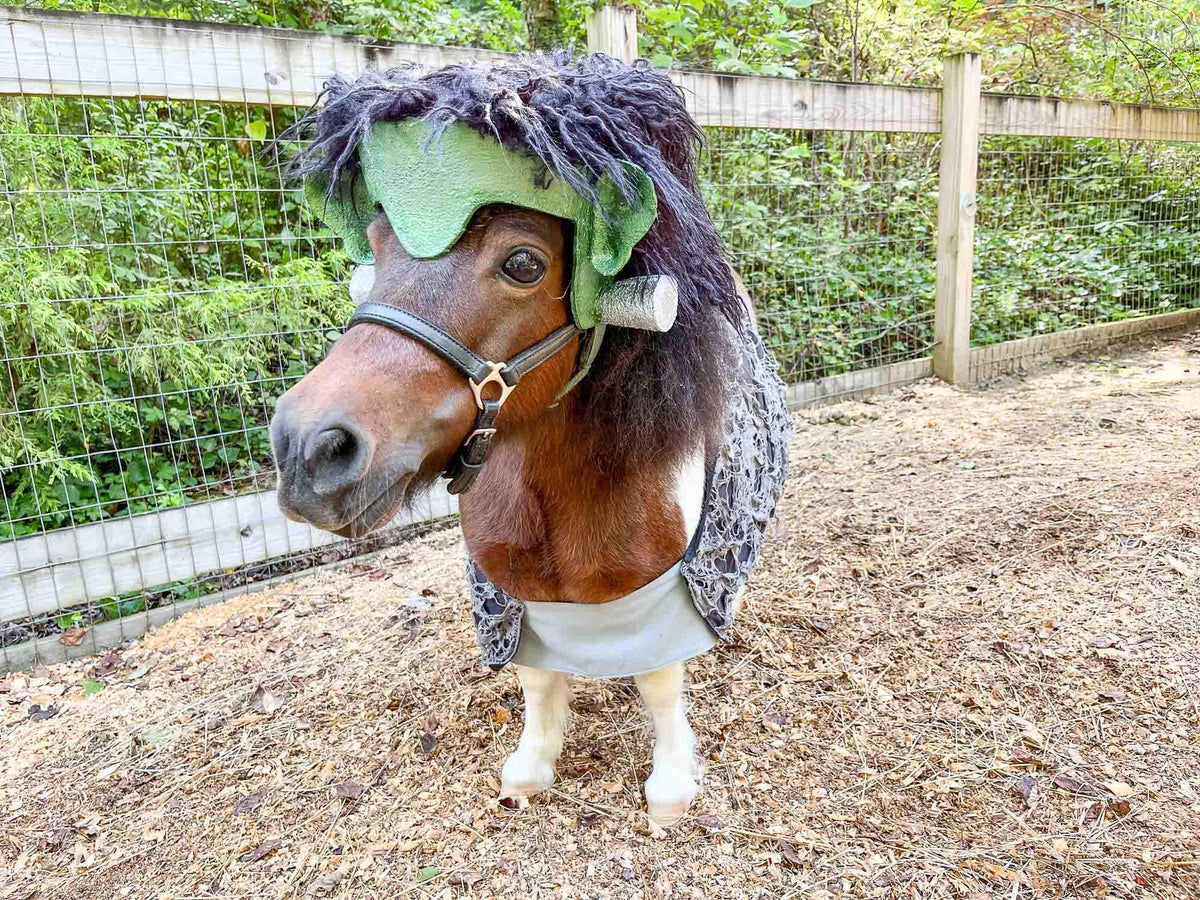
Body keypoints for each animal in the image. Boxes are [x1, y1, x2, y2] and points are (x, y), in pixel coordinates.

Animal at [269, 52, 789, 825]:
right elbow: (539, 683)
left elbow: (661, 681)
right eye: (379, 246)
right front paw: (533, 766)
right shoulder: (516, 597)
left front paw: (671, 786)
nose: (308, 450)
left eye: (522, 263)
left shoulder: (668, 596)